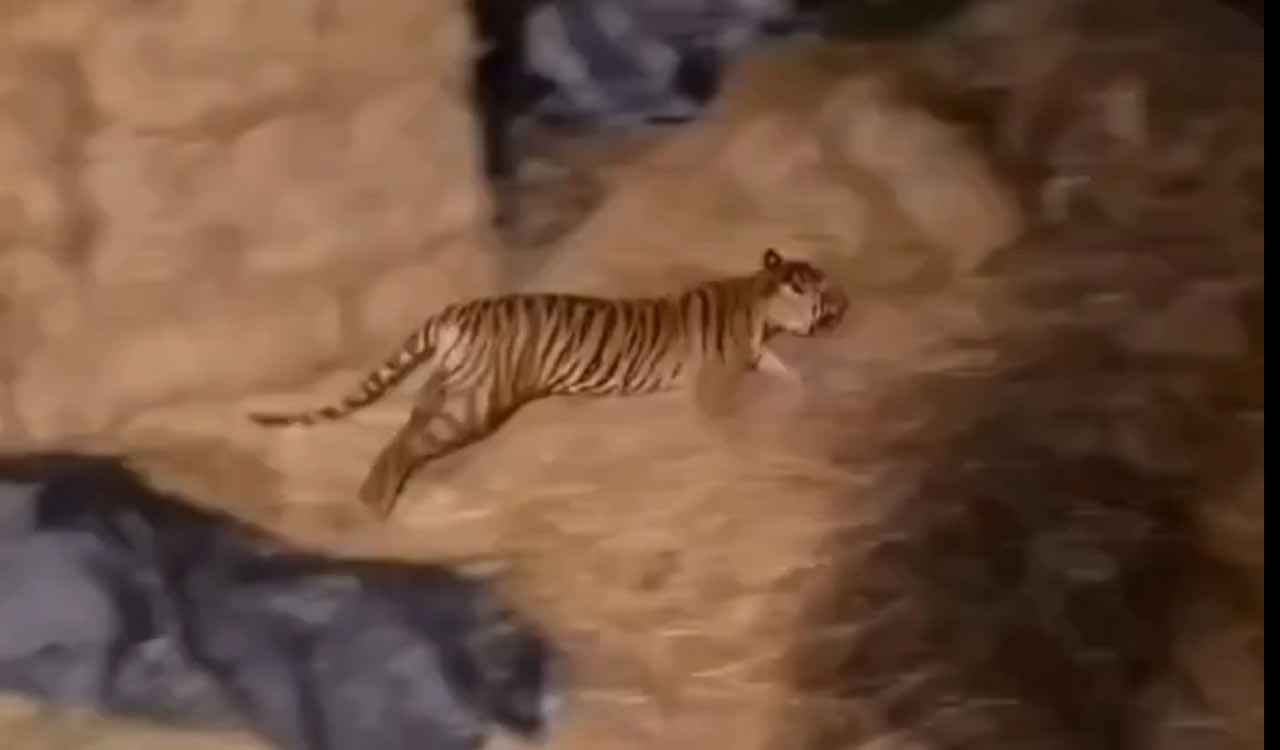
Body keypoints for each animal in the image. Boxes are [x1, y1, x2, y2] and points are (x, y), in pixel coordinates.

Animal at [248, 248, 849, 520]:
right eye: (825, 290)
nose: (848, 302)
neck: (760, 302)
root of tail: (458, 311)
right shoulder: (718, 377)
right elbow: (723, 415)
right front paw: (733, 441)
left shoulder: (757, 354)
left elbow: (782, 369)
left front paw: (799, 389)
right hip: (476, 404)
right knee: (409, 441)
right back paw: (377, 500)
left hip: (453, 384)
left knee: (411, 423)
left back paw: (374, 492)